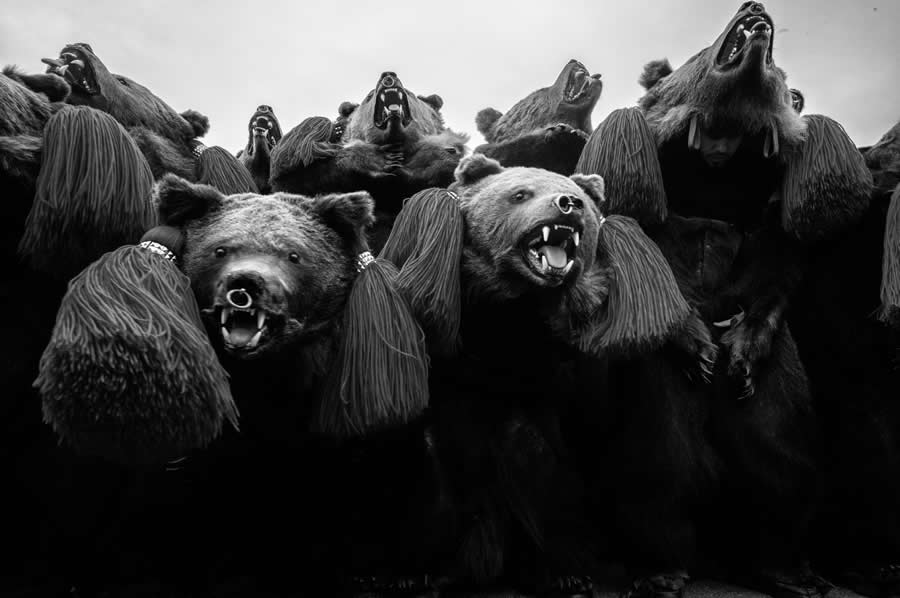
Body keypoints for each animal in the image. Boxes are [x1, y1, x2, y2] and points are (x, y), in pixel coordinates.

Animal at [573, 3, 872, 596]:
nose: (753, 8)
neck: (722, 138)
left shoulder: (779, 181)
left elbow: (781, 242)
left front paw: (743, 350)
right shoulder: (640, 156)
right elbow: (638, 225)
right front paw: (695, 343)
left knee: (779, 447)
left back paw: (786, 567)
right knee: (661, 453)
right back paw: (662, 567)